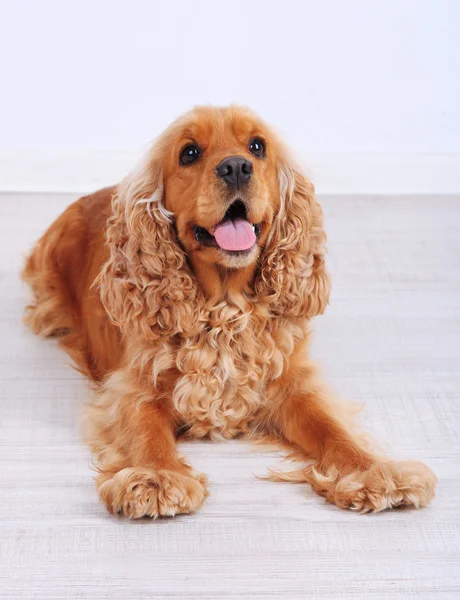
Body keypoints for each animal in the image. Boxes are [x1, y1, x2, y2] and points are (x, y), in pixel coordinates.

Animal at [21, 105, 436, 516]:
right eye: (189, 153)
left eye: (257, 146)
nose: (236, 166)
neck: (225, 306)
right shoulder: (132, 386)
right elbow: (145, 431)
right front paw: (155, 477)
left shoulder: (293, 384)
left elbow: (332, 428)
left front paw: (374, 472)